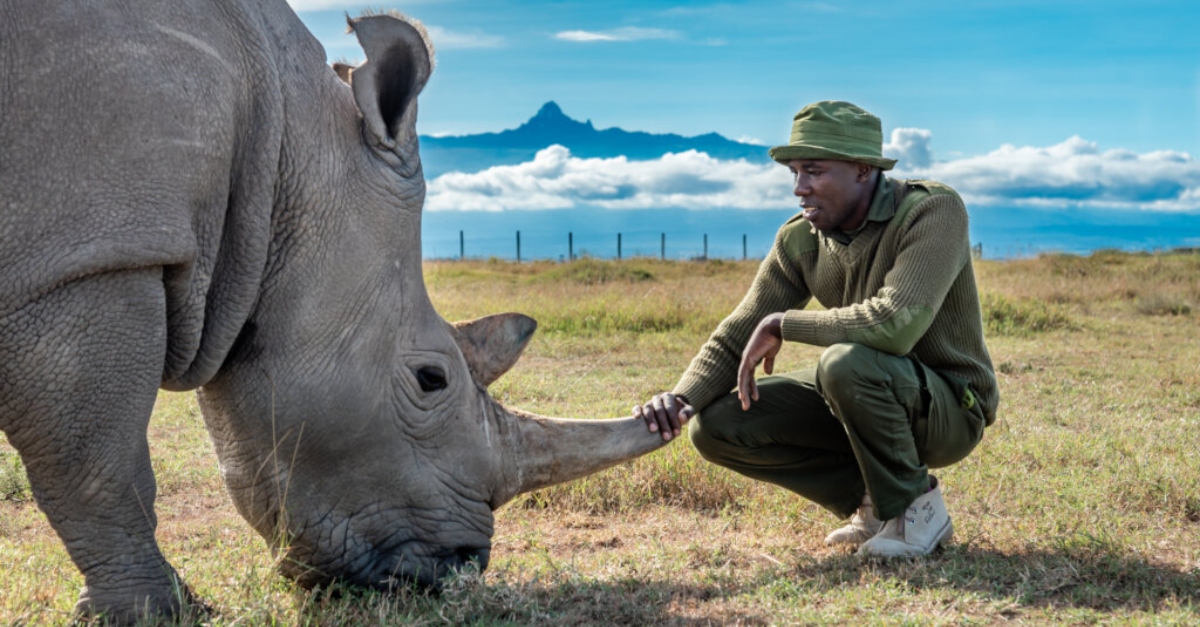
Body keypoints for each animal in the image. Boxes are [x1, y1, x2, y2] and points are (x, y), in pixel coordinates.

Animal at [0, 1, 666, 622]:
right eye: (431, 379)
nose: (459, 568)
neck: (283, 158)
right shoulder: (94, 257)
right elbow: (97, 461)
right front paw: (156, 612)